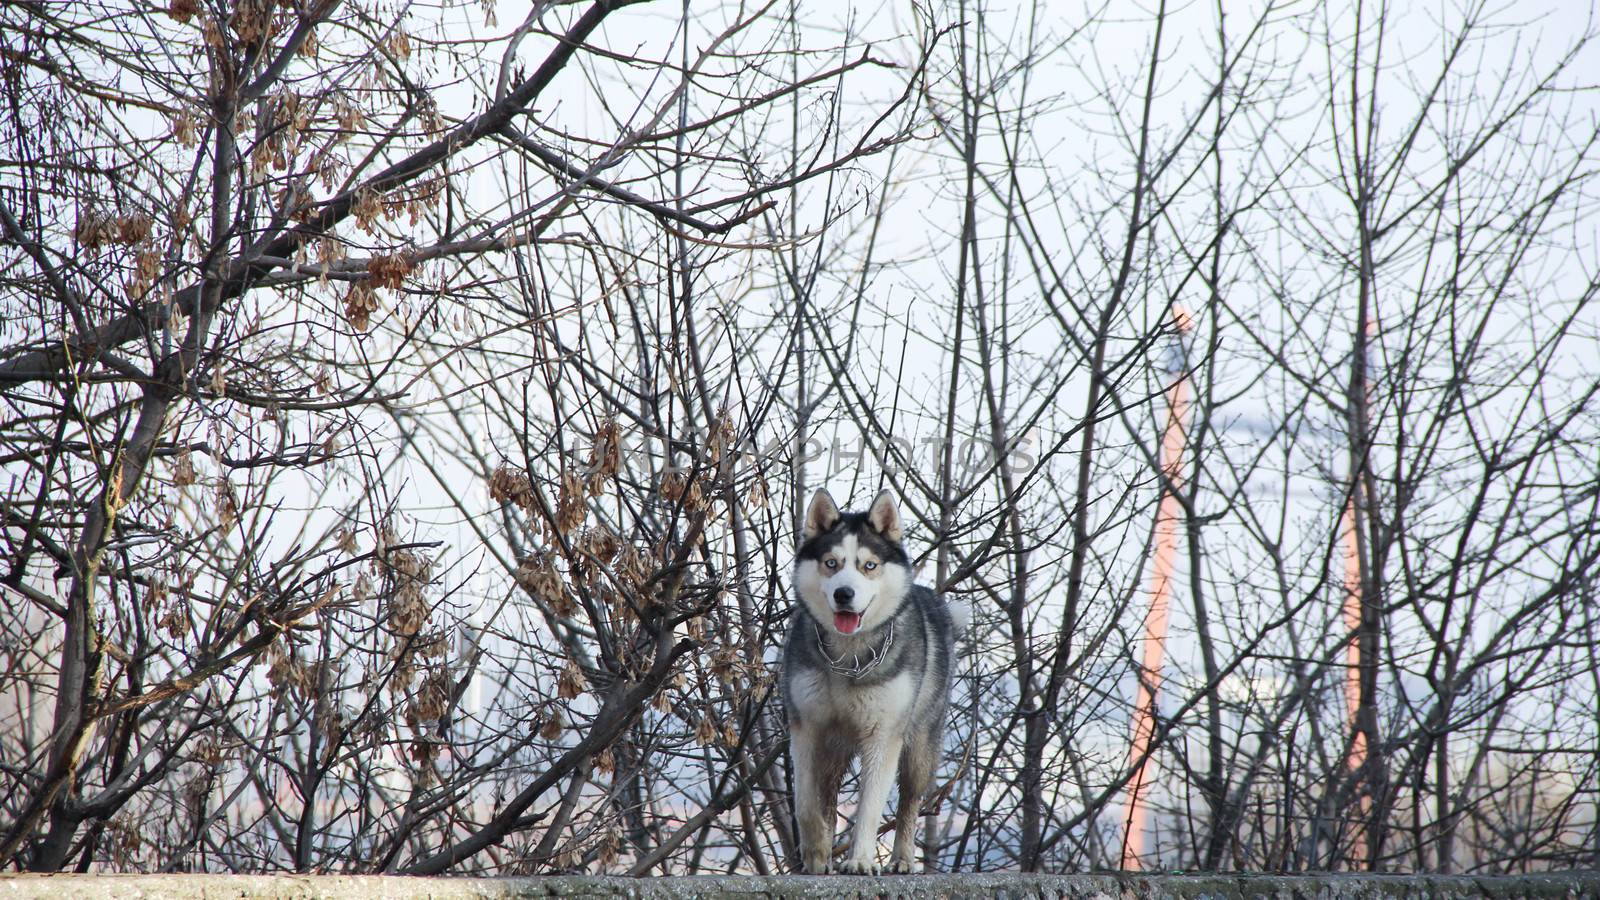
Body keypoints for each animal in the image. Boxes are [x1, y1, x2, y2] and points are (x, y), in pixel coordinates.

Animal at [777, 486, 953, 871]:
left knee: (910, 801)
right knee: (828, 795)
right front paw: (817, 851)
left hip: (920, 743)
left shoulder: (883, 736)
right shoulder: (806, 728)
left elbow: (870, 807)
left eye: (869, 566)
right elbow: (807, 805)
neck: (847, 658)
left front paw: (859, 861)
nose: (844, 594)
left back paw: (902, 859)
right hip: (834, 749)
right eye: (831, 563)